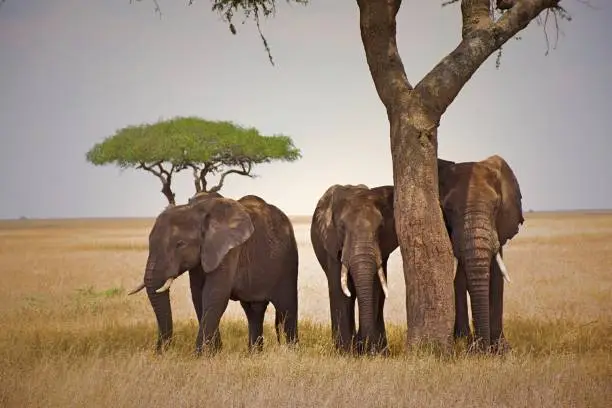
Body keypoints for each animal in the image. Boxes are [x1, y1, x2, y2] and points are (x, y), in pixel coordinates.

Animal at [129, 191, 298, 354]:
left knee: (286, 308)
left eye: (180, 244)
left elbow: (214, 295)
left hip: (287, 262)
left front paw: (199, 355)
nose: (159, 352)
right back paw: (254, 354)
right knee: (254, 311)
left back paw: (291, 352)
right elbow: (198, 296)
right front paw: (213, 353)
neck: (195, 209)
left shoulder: (229, 250)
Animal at [310, 185, 396, 354]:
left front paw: (370, 352)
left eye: (381, 227)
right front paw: (345, 353)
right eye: (342, 227)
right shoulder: (332, 242)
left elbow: (374, 289)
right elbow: (340, 291)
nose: (362, 344)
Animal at [438, 155, 524, 352]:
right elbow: (459, 280)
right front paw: (467, 345)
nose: (482, 350)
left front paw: (502, 350)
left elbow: (497, 277)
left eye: (496, 206)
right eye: (448, 209)